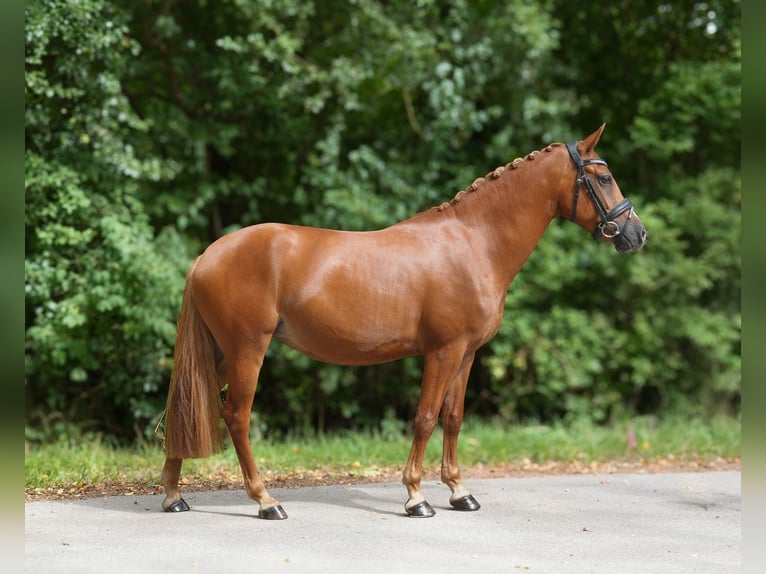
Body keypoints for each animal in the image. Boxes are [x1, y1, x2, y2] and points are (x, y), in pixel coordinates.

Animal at [159, 124, 647, 519]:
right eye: (603, 177)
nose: (636, 233)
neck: (474, 242)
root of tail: (207, 255)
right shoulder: (443, 351)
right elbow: (426, 417)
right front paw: (416, 497)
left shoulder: (467, 354)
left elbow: (454, 417)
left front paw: (459, 492)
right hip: (248, 350)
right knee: (236, 416)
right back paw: (265, 501)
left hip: (224, 353)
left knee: (184, 404)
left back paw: (173, 494)